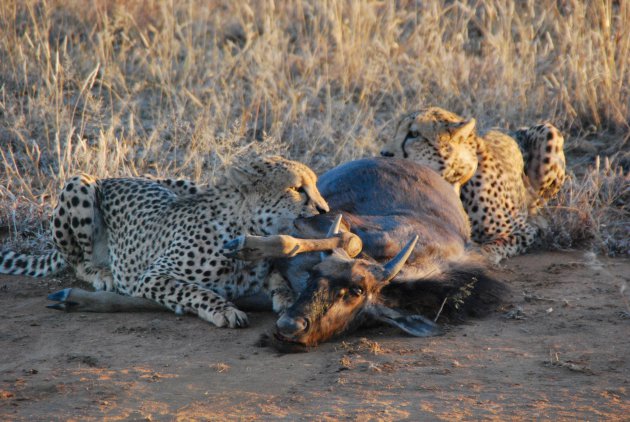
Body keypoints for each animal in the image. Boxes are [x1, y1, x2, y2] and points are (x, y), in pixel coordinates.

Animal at [0, 157, 334, 328]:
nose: (325, 209)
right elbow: (193, 290)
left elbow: (275, 276)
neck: (245, 227)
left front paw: (286, 296)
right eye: (297, 189)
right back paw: (101, 273)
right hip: (79, 183)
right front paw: (224, 309)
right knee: (77, 261)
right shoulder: (152, 276)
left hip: (185, 183)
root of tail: (112, 176)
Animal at [380, 107, 568, 262]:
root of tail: (512, 130)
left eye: (414, 134)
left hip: (550, 131)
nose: (383, 153)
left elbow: (491, 246)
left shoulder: (522, 230)